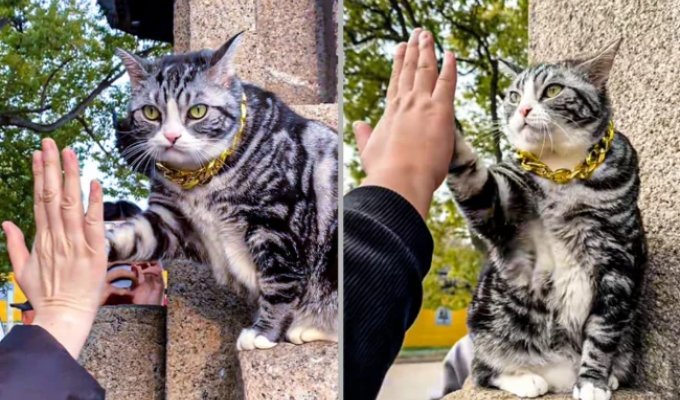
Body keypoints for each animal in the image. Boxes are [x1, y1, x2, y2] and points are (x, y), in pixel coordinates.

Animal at [108, 32, 338, 350]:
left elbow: (279, 282)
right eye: (151, 112)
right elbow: (132, 236)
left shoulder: (277, 224)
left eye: (198, 111)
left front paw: (264, 332)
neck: (202, 183)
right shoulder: (170, 220)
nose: (171, 136)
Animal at [444, 38, 644, 400]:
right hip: (485, 317)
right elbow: (475, 183)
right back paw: (525, 378)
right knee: (482, 370)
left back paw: (607, 377)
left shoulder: (620, 259)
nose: (522, 110)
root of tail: (560, 376)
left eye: (552, 90)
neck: (563, 172)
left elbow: (604, 329)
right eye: (513, 95)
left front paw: (592, 381)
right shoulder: (505, 216)